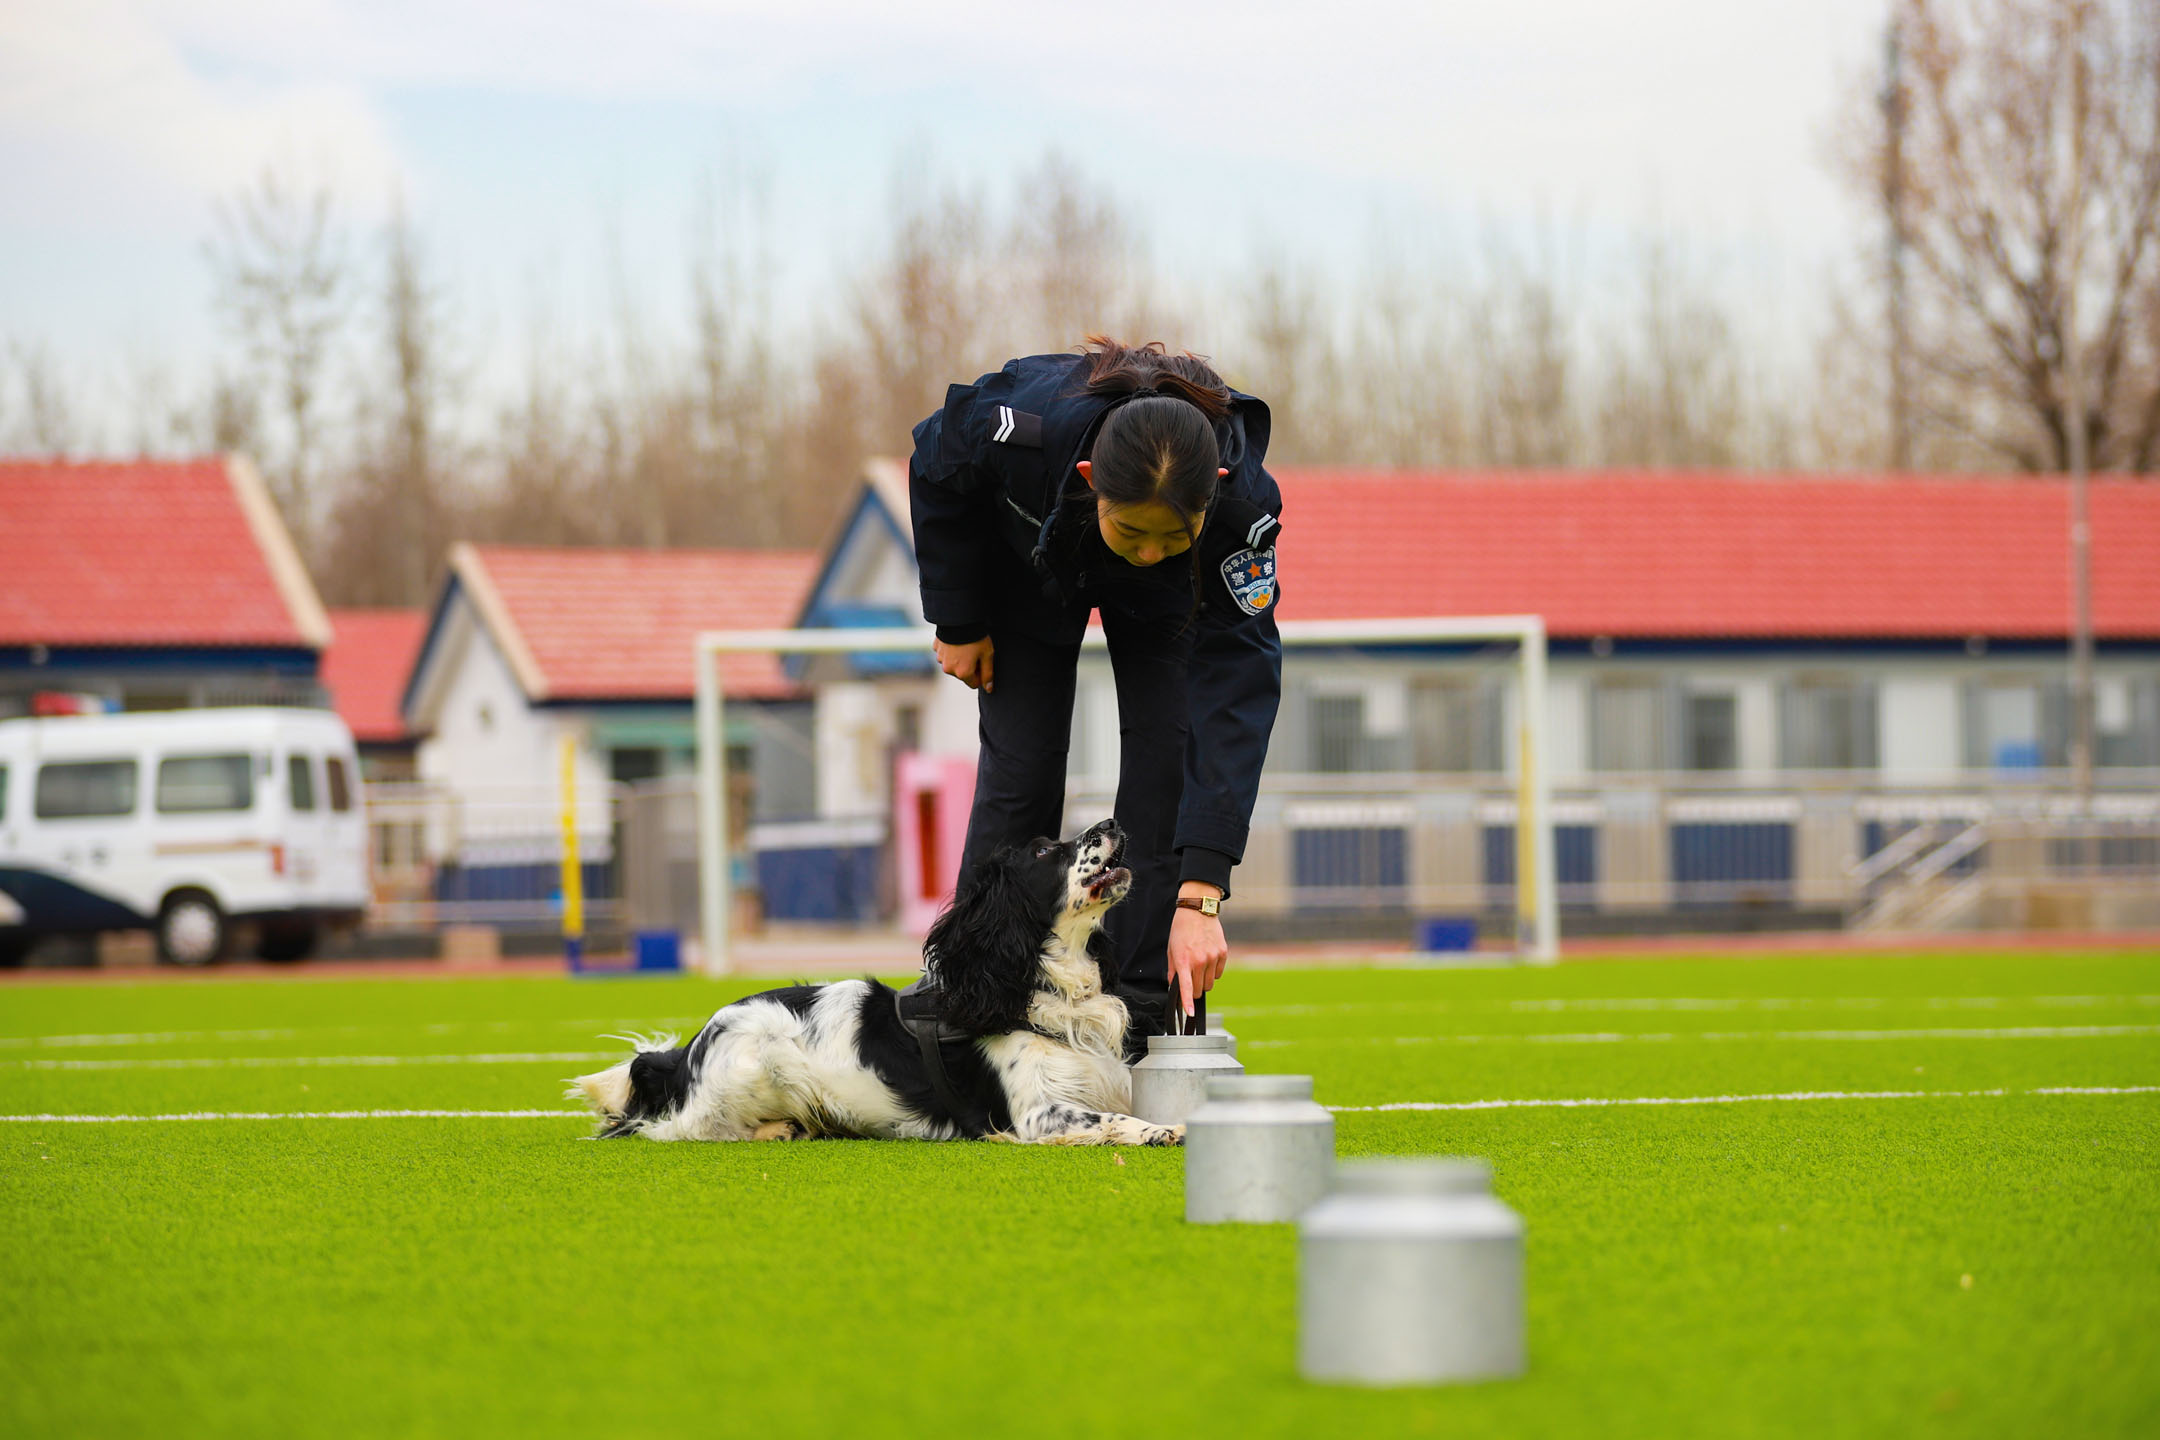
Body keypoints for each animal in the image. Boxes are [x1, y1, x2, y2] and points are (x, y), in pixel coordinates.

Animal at [574, 820, 1183, 1148]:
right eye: (1043, 850)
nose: (1113, 824)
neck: (1047, 987)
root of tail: (688, 1051)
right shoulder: (1036, 1112)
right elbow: (1111, 1118)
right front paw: (1159, 1129)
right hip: (762, 1058)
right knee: (682, 1128)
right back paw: (775, 1129)